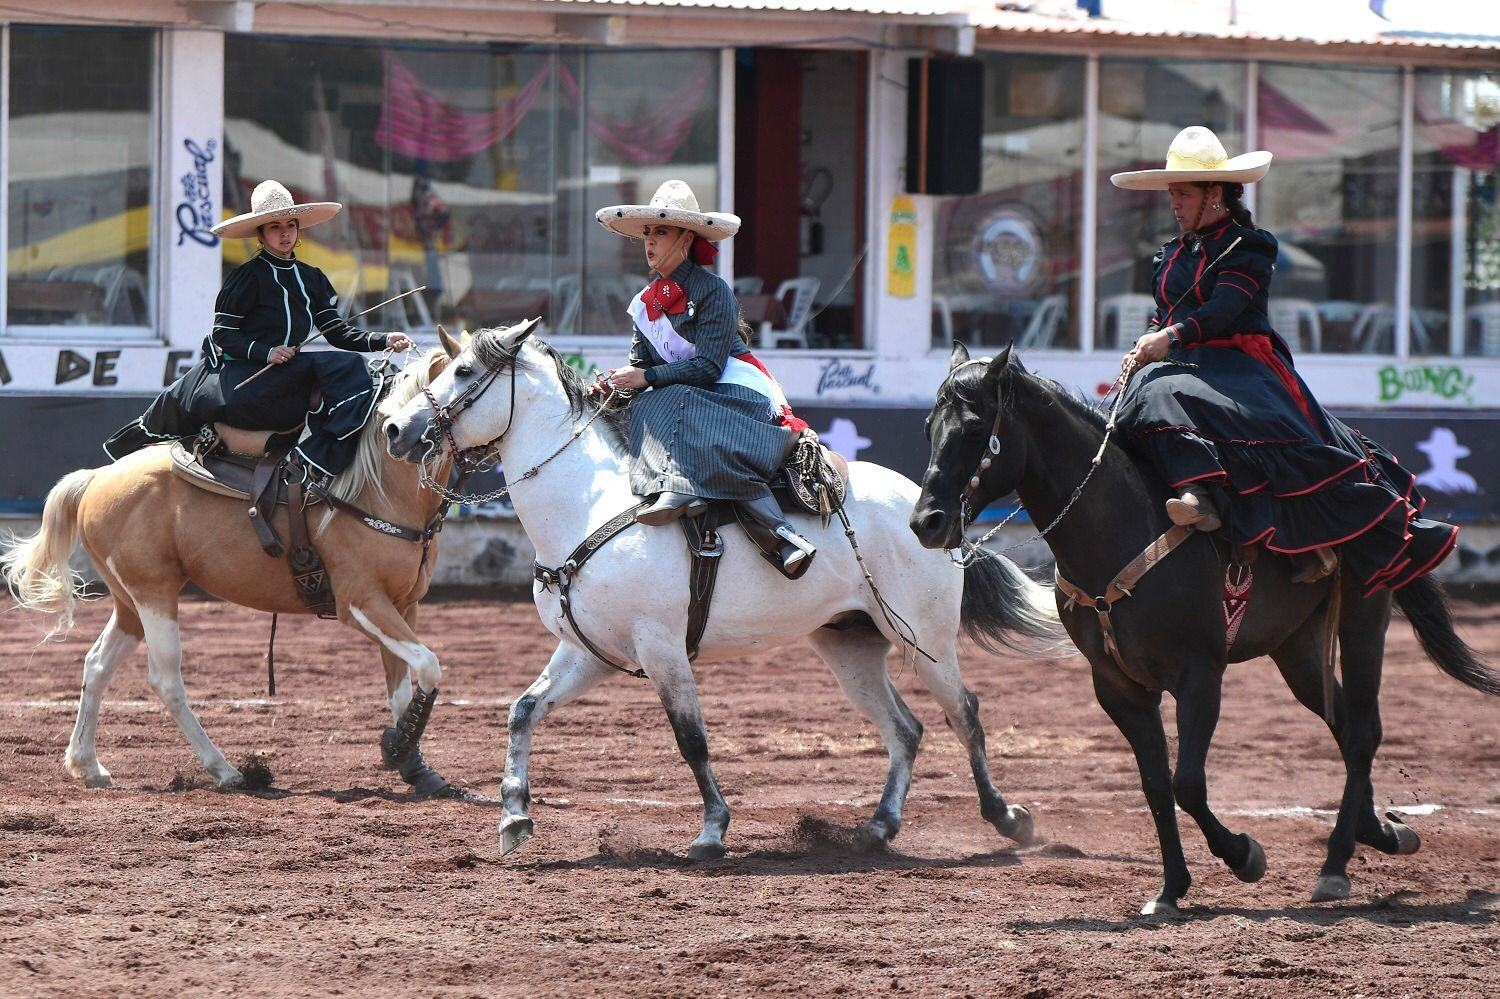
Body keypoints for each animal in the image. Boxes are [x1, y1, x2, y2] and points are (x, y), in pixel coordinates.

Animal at [2, 342, 462, 792]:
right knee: (165, 680)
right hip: (154, 594)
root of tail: (97, 478)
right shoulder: (360, 602)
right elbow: (428, 664)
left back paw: (88, 765)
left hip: (129, 601)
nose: (408, 437)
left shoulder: (403, 605)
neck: (377, 487)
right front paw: (398, 751)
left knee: (96, 665)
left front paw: (415, 767)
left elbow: (403, 688)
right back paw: (225, 770)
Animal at [387, 319, 1062, 858]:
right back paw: (878, 827)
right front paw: (514, 815)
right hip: (849, 645)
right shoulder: (588, 652)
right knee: (906, 729)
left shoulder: (661, 648)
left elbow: (691, 739)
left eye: (465, 371)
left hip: (926, 640)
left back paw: (1007, 819)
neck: (587, 503)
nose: (396, 428)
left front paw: (712, 830)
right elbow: (523, 711)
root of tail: (930, 512)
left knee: (964, 714)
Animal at [900, 342, 1500, 912]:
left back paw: (1335, 865)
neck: (1120, 526)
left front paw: (1244, 855)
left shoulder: (1199, 674)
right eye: (928, 428)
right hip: (1297, 647)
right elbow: (1155, 786)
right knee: (1343, 723)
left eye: (974, 428)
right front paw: (1170, 889)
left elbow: (1187, 783)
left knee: (1362, 731)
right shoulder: (1117, 688)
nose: (927, 522)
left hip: (1363, 616)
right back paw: (1381, 833)